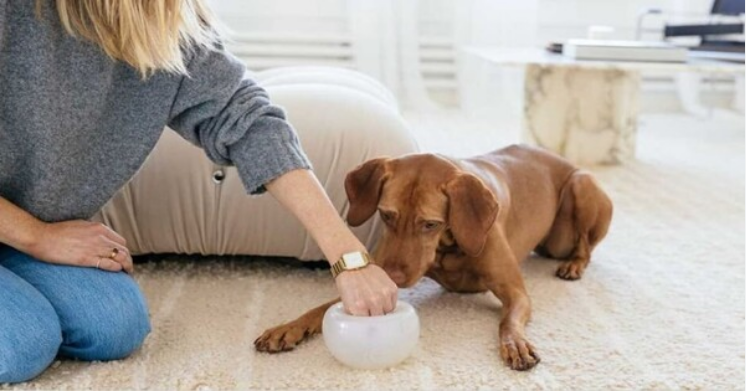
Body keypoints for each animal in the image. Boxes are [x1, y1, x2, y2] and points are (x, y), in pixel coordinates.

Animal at [254, 144, 612, 370]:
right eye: (386, 215)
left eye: (430, 224)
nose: (395, 277)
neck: (449, 246)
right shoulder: (374, 281)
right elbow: (321, 307)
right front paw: (288, 328)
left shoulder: (516, 292)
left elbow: (508, 321)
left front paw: (515, 344)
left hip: (580, 189)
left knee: (585, 245)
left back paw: (573, 265)